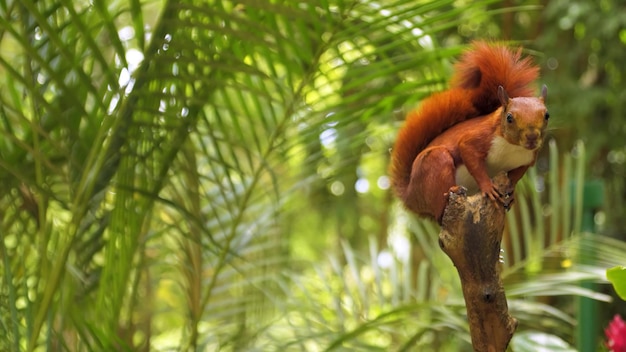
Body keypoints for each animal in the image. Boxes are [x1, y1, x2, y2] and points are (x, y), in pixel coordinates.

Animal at [388, 41, 548, 223]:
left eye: (547, 115)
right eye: (509, 118)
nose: (532, 137)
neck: (512, 146)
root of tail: (410, 196)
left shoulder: (528, 159)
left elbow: (515, 177)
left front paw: (511, 191)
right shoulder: (479, 138)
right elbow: (470, 155)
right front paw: (488, 188)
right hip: (434, 163)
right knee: (438, 212)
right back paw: (450, 194)